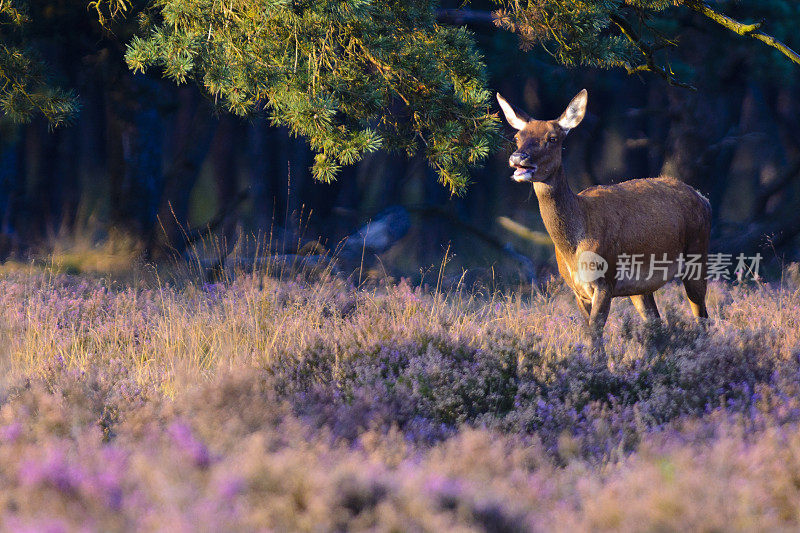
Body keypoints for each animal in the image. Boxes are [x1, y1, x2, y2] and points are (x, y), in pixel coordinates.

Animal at [496, 89, 708, 360]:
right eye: (518, 137)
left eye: (552, 138)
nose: (518, 158)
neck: (574, 246)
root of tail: (703, 198)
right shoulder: (577, 290)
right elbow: (590, 332)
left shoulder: (605, 280)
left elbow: (595, 334)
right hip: (641, 287)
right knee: (657, 324)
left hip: (697, 255)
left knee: (702, 316)